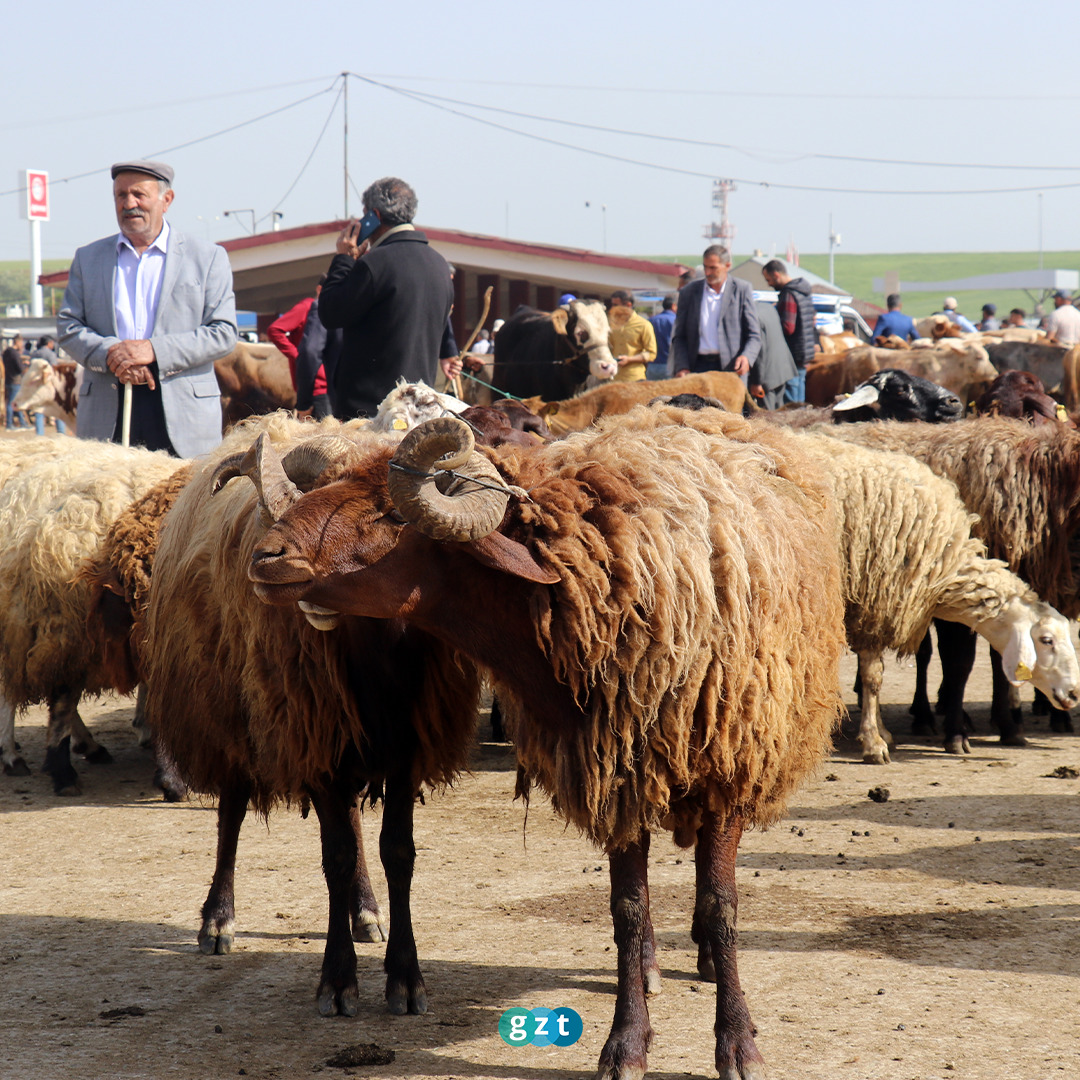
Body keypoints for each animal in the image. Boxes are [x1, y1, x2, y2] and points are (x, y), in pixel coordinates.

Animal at [247, 406, 851, 1080]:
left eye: (390, 514)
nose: (266, 556)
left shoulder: (726, 765)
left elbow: (725, 909)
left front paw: (738, 1044)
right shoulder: (617, 772)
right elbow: (627, 911)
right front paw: (626, 1043)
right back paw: (651, 968)